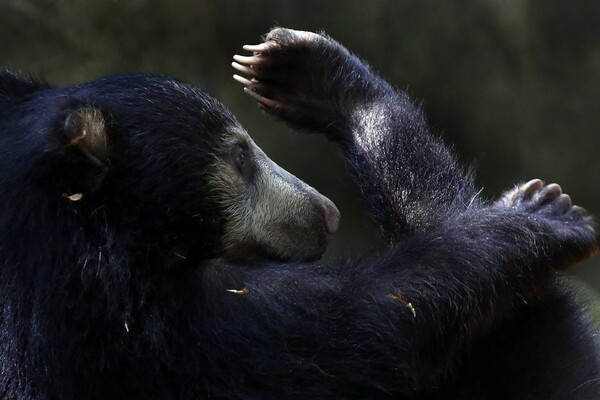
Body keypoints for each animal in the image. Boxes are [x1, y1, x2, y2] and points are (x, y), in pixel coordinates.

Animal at [0, 26, 596, 398]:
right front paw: (546, 212)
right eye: (239, 156)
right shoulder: (158, 333)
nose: (327, 214)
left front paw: (306, 71)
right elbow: (380, 312)